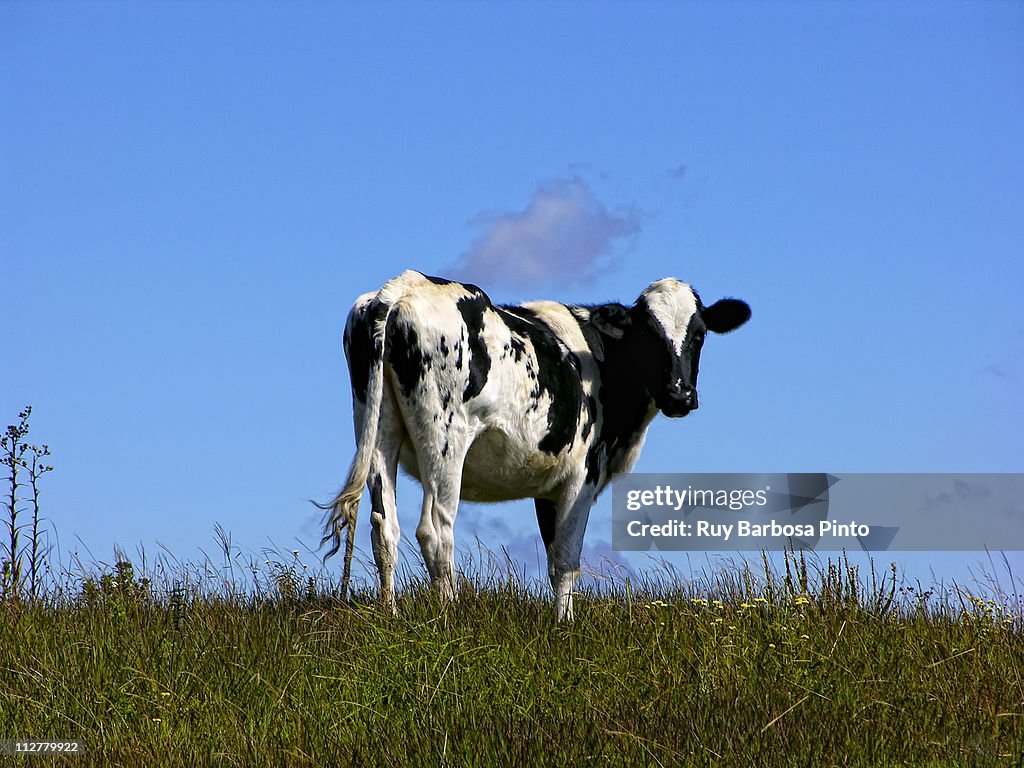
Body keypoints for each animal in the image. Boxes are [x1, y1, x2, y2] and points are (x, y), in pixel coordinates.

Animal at [323, 268, 749, 618]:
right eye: (648, 335)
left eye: (699, 334)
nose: (680, 394)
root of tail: (400, 288)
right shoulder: (582, 474)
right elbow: (567, 558)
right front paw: (566, 628)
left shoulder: (548, 485)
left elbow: (553, 556)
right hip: (445, 435)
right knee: (435, 529)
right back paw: (449, 616)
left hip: (378, 427)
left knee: (384, 525)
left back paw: (390, 615)